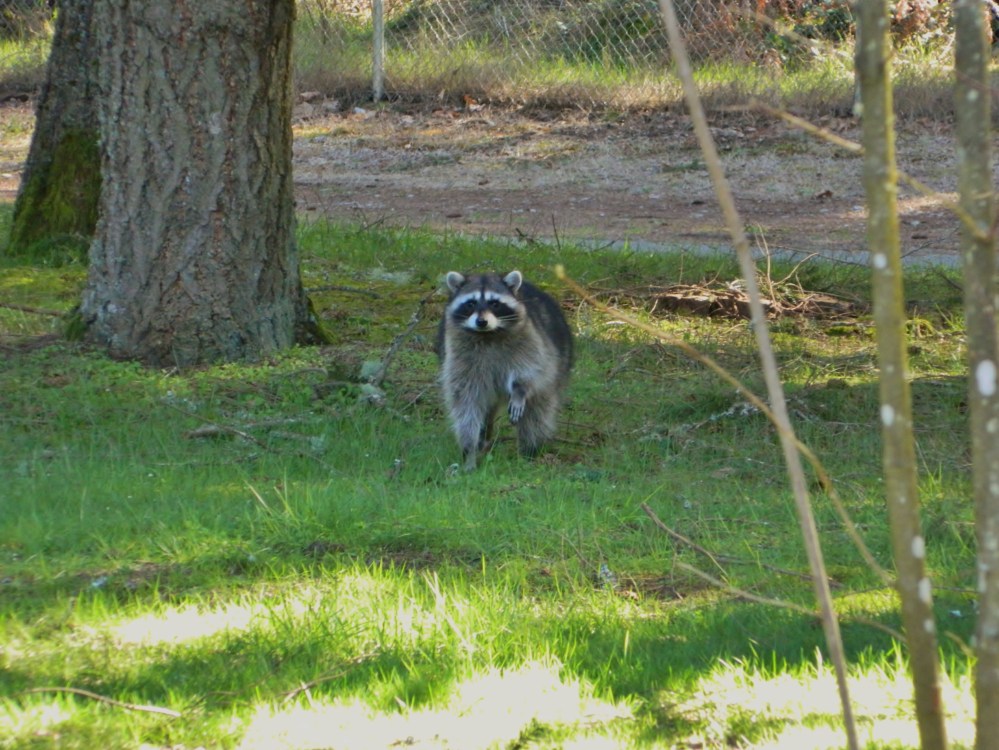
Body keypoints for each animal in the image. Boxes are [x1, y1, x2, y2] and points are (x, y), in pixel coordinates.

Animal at [437, 270, 573, 471]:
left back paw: (529, 450)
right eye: (471, 303)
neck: (487, 334)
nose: (481, 321)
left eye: (494, 303)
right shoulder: (458, 355)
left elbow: (533, 368)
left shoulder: (531, 340)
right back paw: (479, 444)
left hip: (559, 364)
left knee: (537, 412)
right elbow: (466, 402)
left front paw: (519, 389)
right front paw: (469, 449)